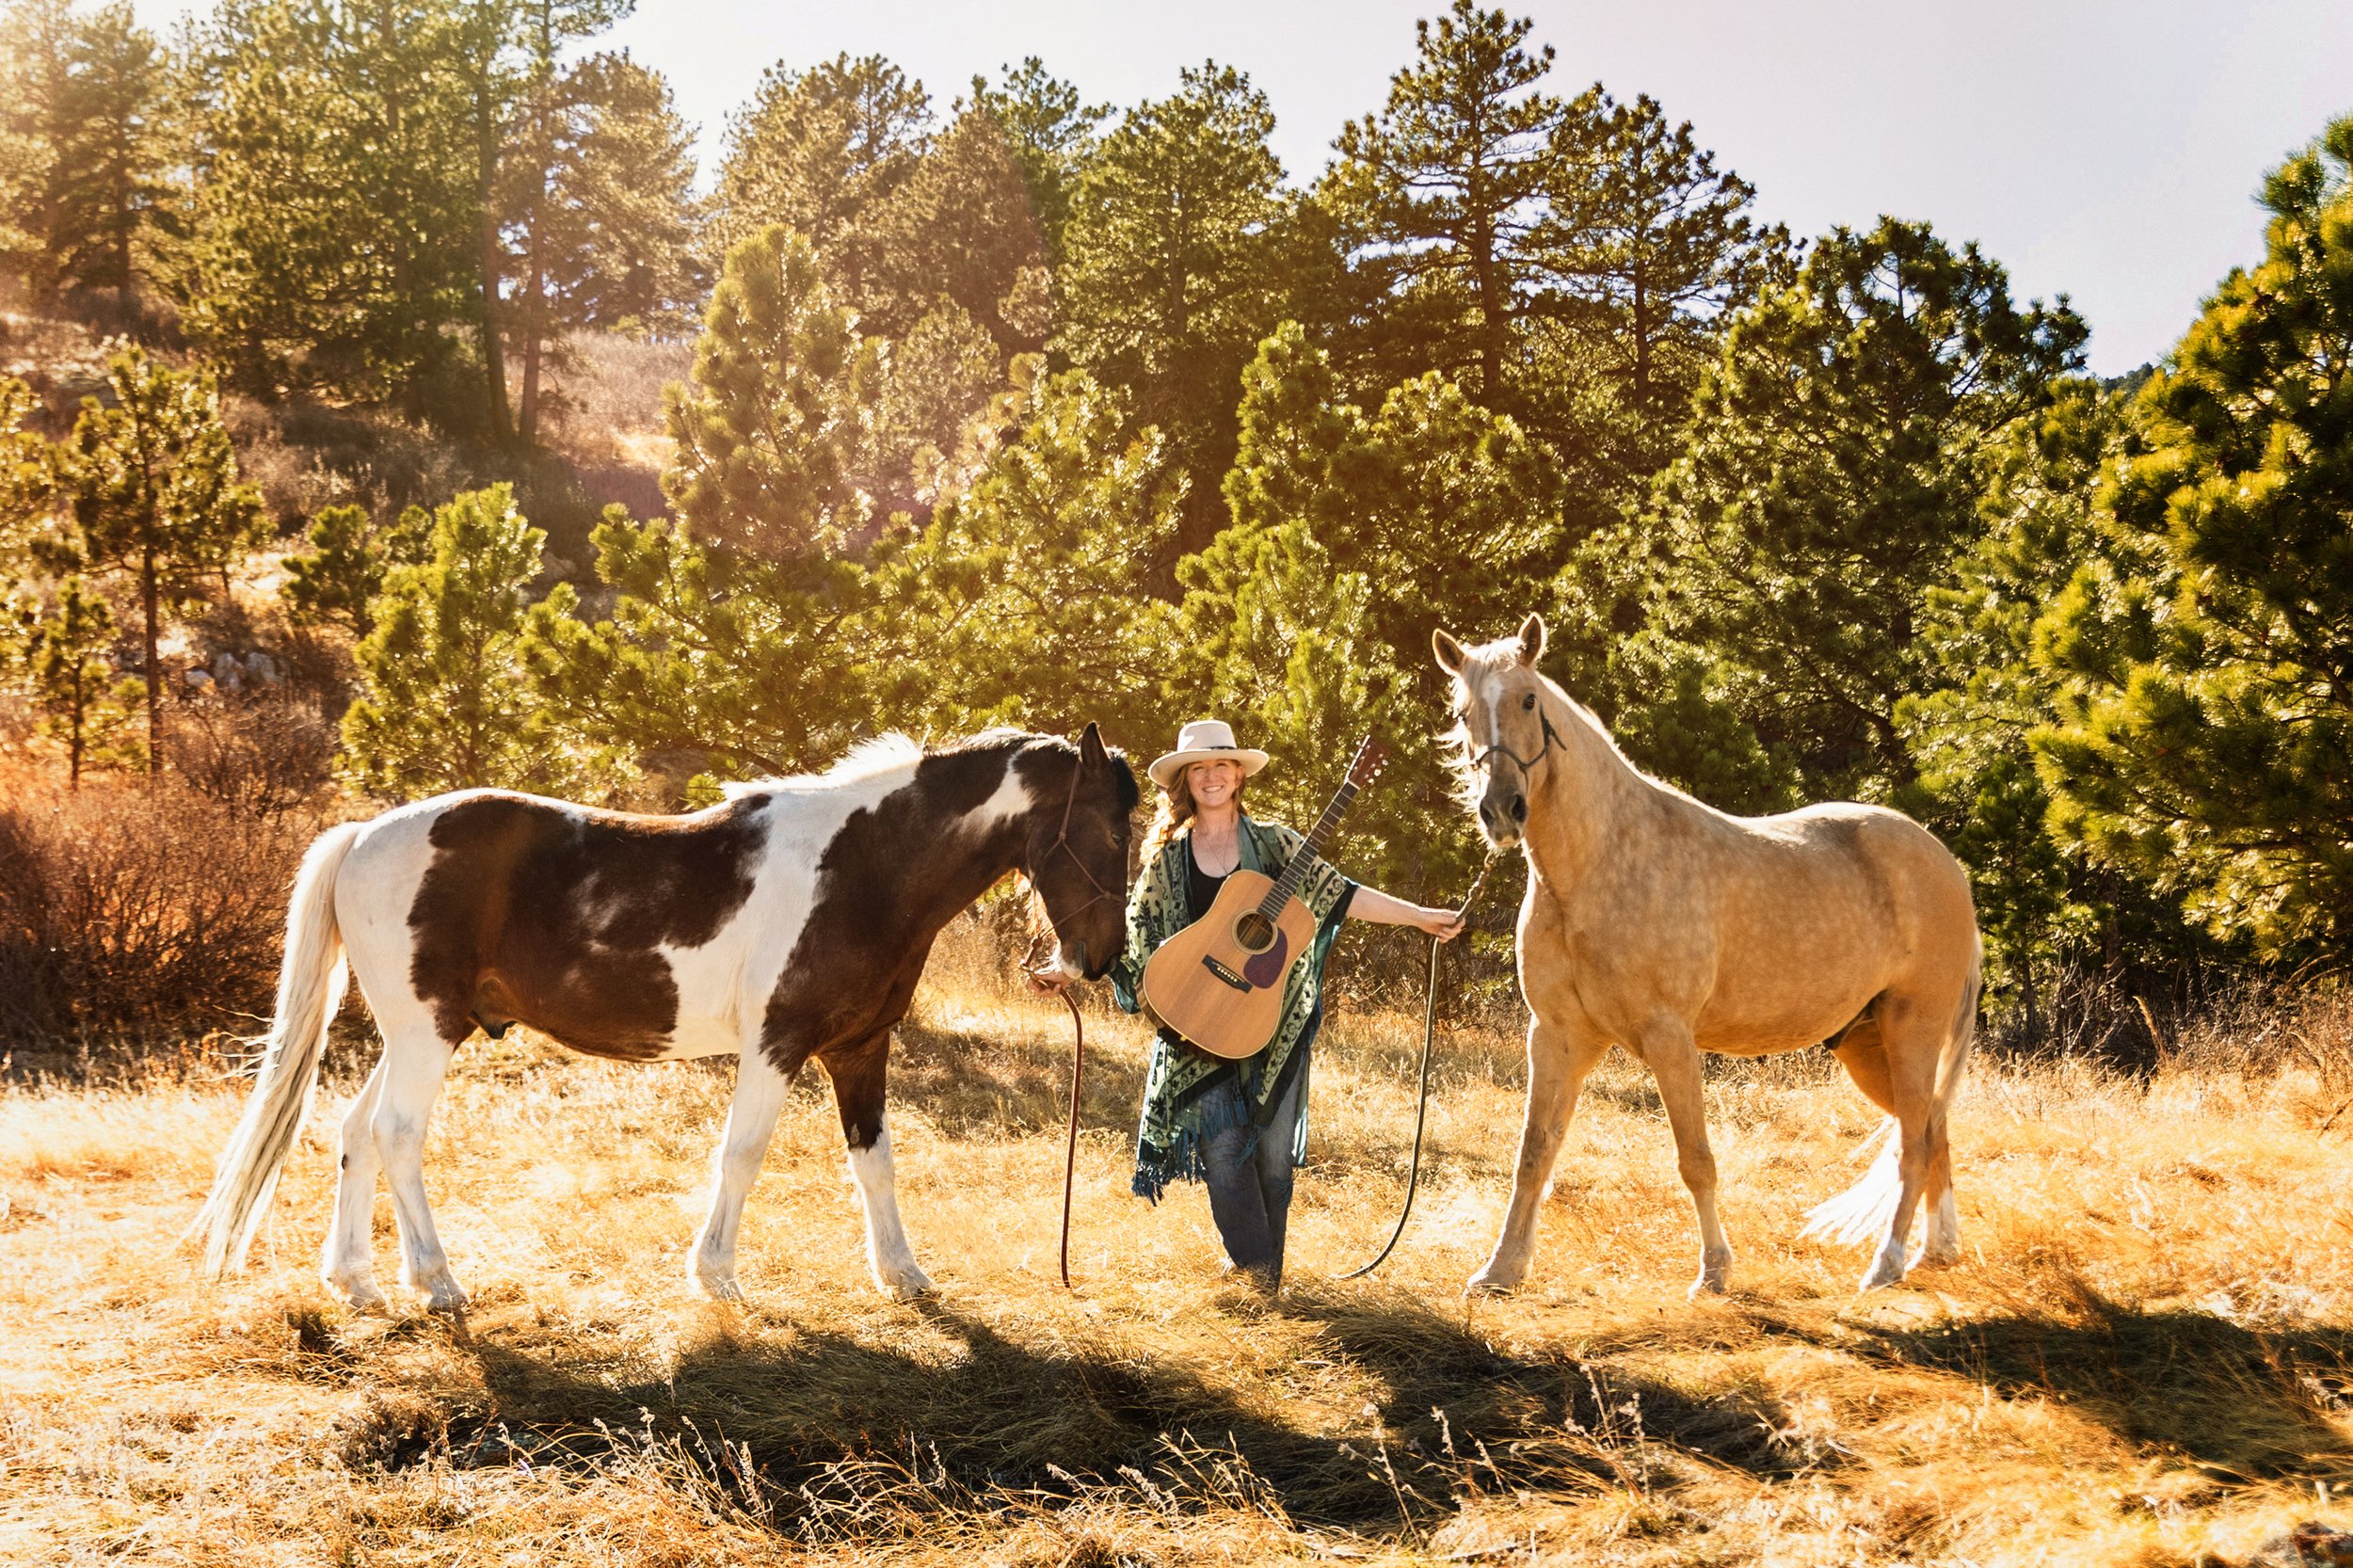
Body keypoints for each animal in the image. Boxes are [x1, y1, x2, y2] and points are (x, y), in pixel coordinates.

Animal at [193, 725, 1139, 1309]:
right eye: (1111, 830)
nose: (1097, 960)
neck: (859, 868)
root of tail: (362, 836)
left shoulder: (859, 1050)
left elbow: (875, 1164)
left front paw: (902, 1275)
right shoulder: (776, 1046)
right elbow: (742, 1154)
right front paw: (714, 1275)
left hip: (422, 1031)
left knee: (354, 1131)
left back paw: (355, 1281)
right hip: (424, 1036)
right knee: (395, 1135)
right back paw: (436, 1282)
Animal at [1433, 616, 1982, 1297]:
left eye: (1529, 700)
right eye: (1462, 712)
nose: (1502, 810)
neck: (1599, 865)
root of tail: (1948, 867)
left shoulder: (1669, 1037)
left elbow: (1695, 1158)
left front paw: (1714, 1271)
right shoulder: (1558, 1035)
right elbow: (1534, 1153)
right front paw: (1501, 1271)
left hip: (1913, 1031)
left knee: (1914, 1143)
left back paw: (1886, 1265)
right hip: (1867, 1045)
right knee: (1934, 1131)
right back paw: (1936, 1252)